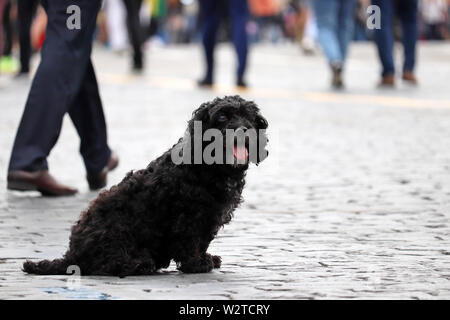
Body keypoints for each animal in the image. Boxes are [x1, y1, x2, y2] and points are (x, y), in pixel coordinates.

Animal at [22, 95, 268, 278]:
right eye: (223, 116)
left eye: (248, 117)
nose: (243, 130)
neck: (211, 167)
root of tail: (71, 256)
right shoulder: (187, 216)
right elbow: (190, 242)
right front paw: (196, 264)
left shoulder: (210, 218)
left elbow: (203, 241)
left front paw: (205, 258)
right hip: (116, 232)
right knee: (104, 266)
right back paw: (140, 264)